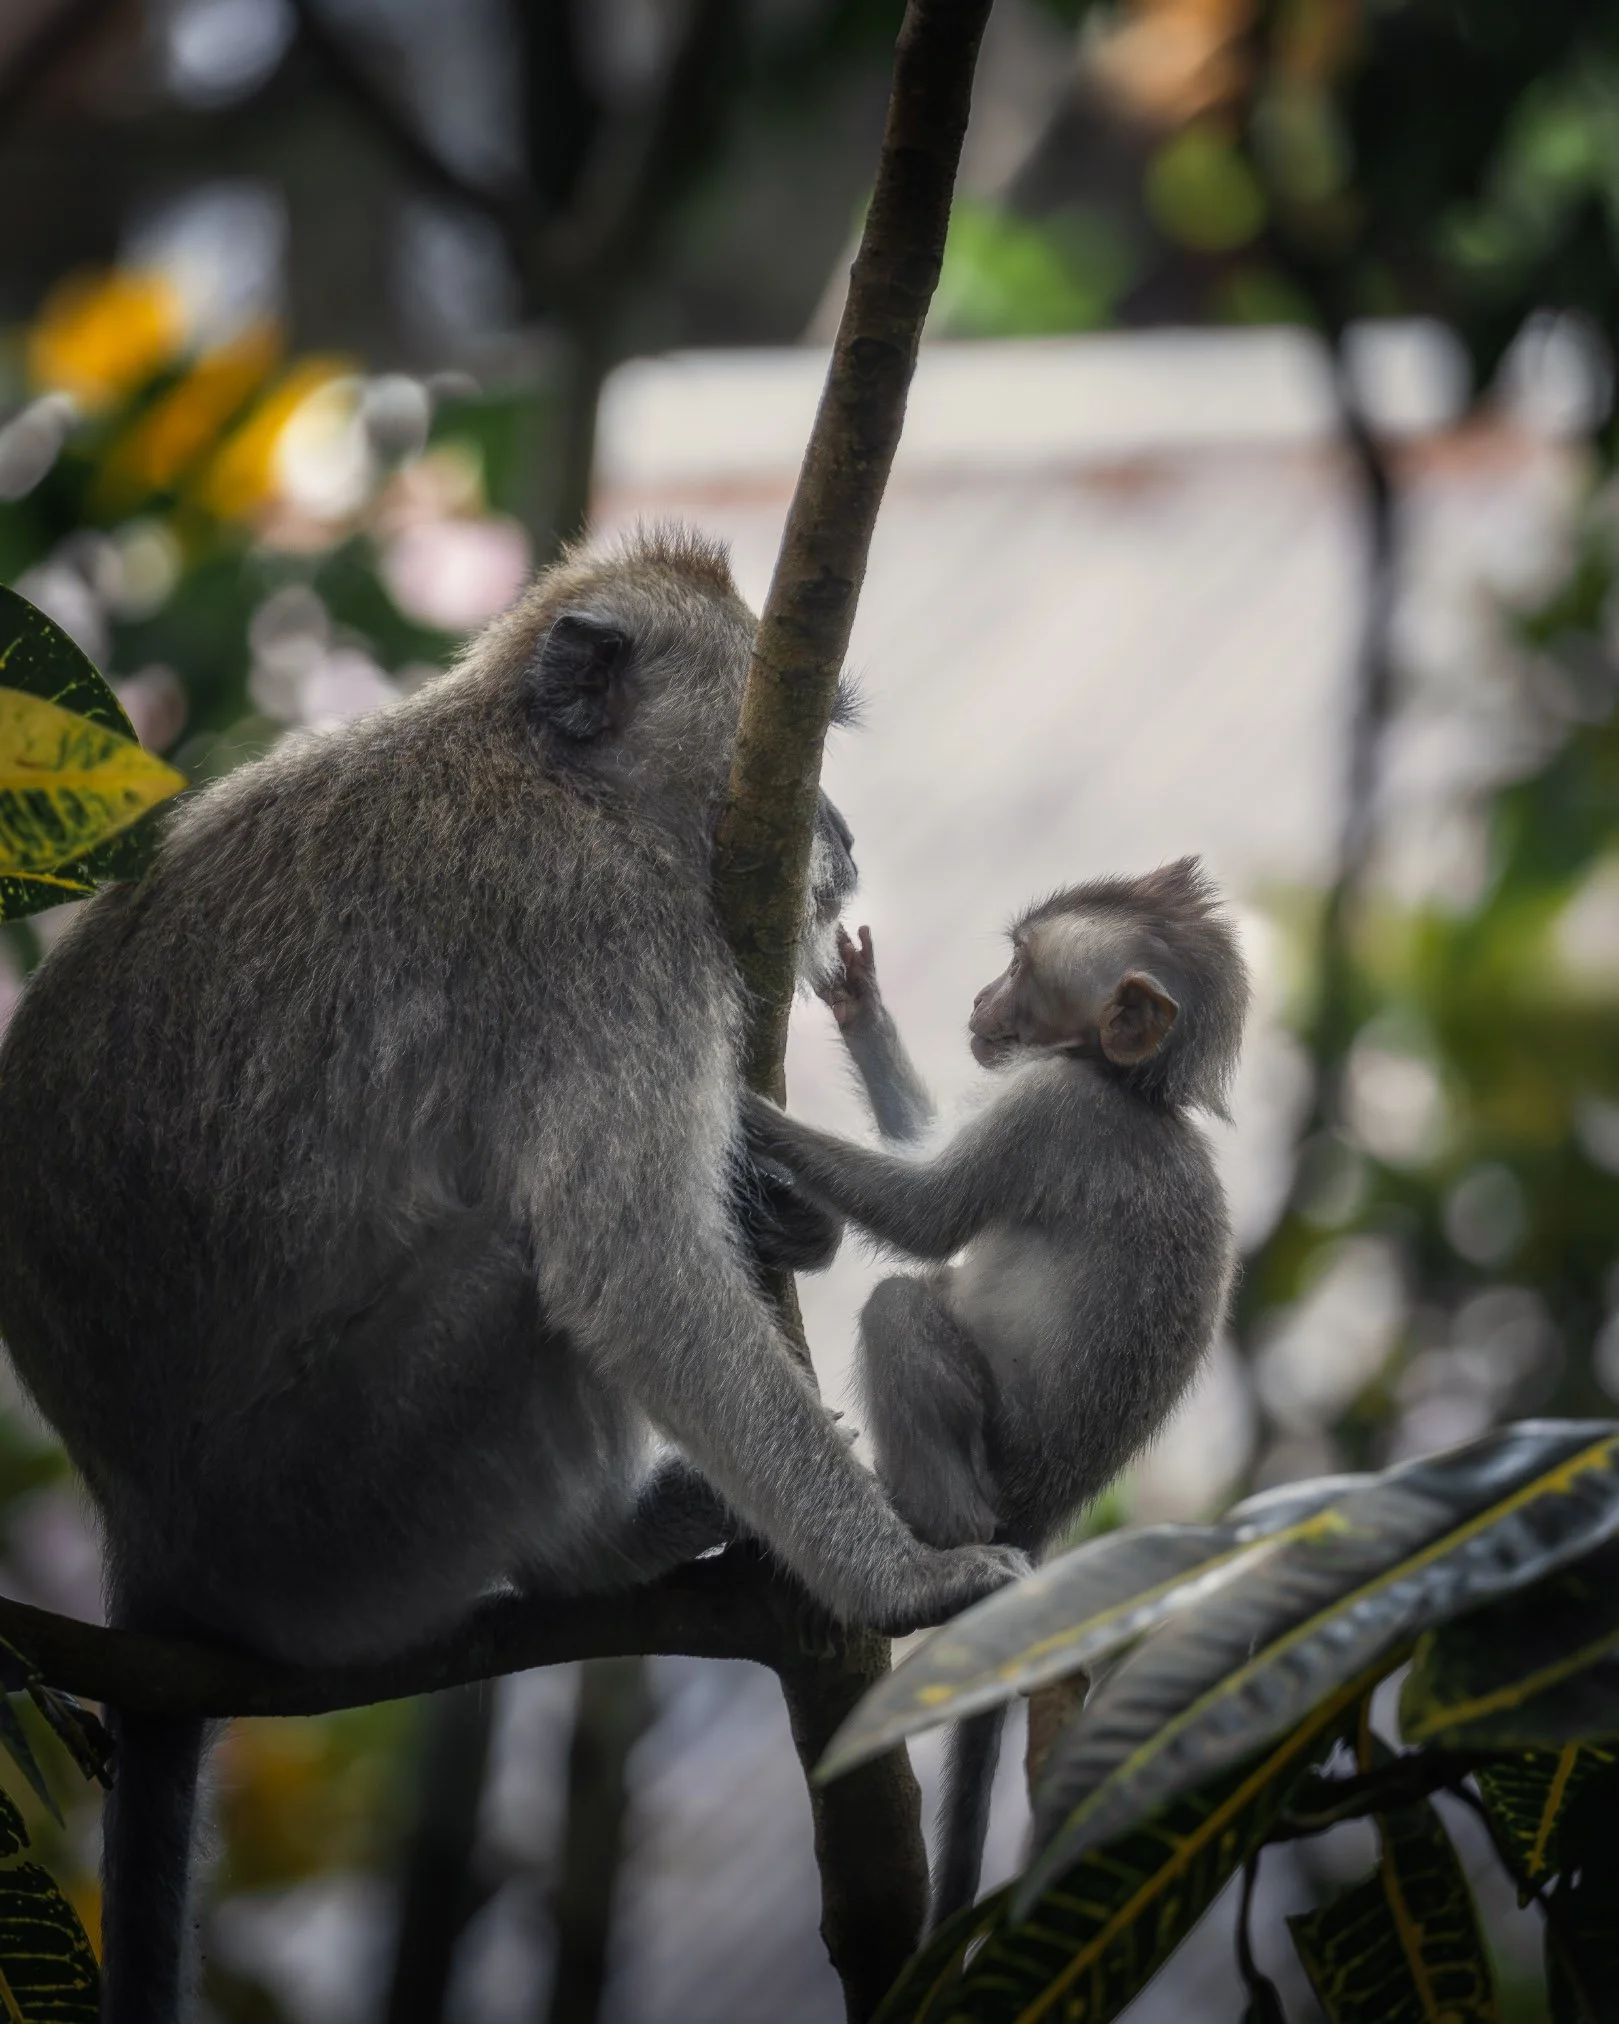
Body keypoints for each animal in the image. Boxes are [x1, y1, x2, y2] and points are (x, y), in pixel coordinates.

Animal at [0, 527, 1026, 2023]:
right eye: (795, 741)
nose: (835, 835)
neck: (548, 767)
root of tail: (141, 1545)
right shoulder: (606, 935)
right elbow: (627, 1269)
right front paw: (903, 1582)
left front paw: (784, 1214)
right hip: (338, 1514)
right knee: (515, 1274)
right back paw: (589, 1551)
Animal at [747, 859, 1250, 1923]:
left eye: (1022, 968)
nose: (982, 999)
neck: (1132, 1088)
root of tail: (1044, 1509)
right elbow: (926, 1153)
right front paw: (859, 1004)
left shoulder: (1052, 1110)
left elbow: (926, 1214)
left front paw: (743, 1108)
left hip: (996, 1453)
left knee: (900, 1306)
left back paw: (925, 1532)